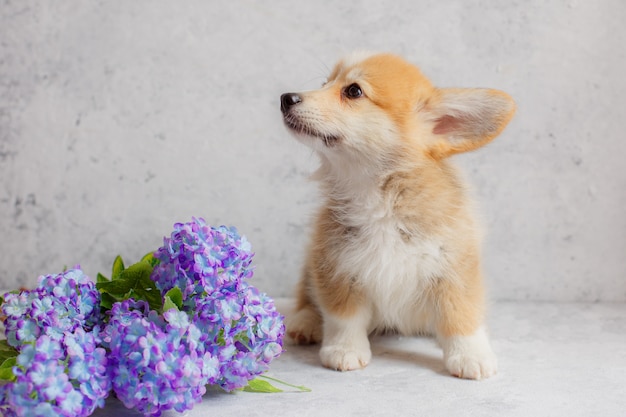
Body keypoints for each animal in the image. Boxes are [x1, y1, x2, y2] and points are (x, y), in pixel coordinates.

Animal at [278, 51, 512, 376]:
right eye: (325, 83)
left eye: (353, 91)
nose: (286, 98)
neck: (380, 200)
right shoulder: (337, 267)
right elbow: (343, 317)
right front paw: (344, 350)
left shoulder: (454, 269)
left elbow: (460, 315)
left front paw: (471, 356)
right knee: (306, 297)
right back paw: (305, 322)